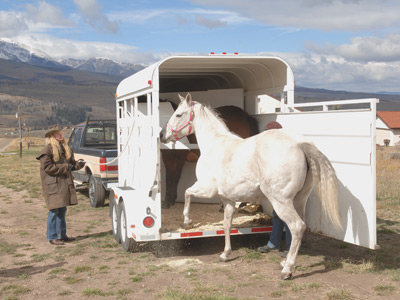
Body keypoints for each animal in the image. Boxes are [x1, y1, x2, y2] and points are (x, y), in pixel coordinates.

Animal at [160, 93, 340, 278]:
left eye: (178, 114)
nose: (162, 135)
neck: (215, 144)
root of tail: (300, 145)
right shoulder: (228, 199)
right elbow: (226, 224)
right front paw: (225, 254)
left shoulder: (206, 189)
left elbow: (187, 193)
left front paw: (187, 222)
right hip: (299, 200)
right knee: (297, 228)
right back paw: (286, 261)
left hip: (281, 202)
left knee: (297, 227)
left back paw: (287, 269)